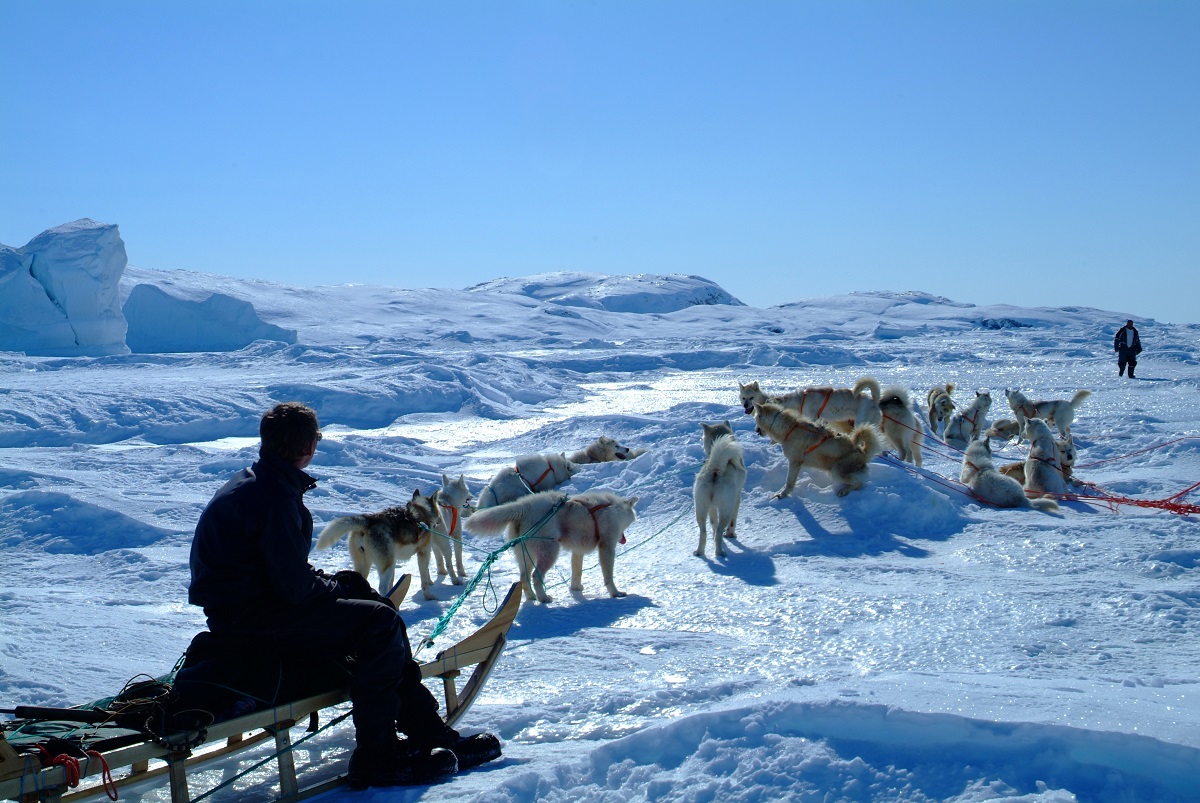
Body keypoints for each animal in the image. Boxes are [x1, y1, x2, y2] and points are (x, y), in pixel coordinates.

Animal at [465, 489, 638, 600]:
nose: (624, 539)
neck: (613, 507)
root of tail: (524, 506)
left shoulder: (578, 551)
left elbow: (577, 572)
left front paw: (576, 588)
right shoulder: (607, 546)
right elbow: (608, 576)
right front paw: (615, 593)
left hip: (525, 555)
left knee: (524, 578)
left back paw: (532, 597)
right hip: (550, 552)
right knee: (536, 576)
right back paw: (543, 598)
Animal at [691, 420, 744, 556]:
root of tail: (715, 469)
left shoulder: (712, 507)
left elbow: (713, 524)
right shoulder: (737, 498)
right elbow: (732, 522)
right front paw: (731, 534)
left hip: (700, 509)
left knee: (704, 531)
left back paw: (700, 552)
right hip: (726, 509)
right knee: (720, 529)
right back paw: (719, 552)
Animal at [734, 376, 888, 432]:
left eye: (751, 397)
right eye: (743, 398)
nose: (745, 406)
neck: (799, 401)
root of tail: (874, 400)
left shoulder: (813, 418)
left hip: (861, 422)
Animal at [748, 398, 883, 496]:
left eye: (756, 419)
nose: (755, 430)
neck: (789, 429)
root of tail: (863, 452)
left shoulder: (795, 462)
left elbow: (789, 482)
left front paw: (783, 494)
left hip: (836, 471)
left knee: (859, 483)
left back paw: (844, 490)